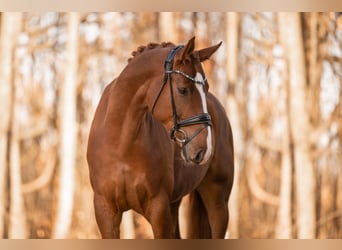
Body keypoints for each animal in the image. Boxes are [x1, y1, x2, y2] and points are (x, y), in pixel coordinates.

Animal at [87, 37, 234, 238]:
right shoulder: (105, 211)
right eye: (182, 90)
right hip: (175, 205)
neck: (121, 143)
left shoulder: (158, 209)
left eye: (206, 88)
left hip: (218, 202)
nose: (205, 149)